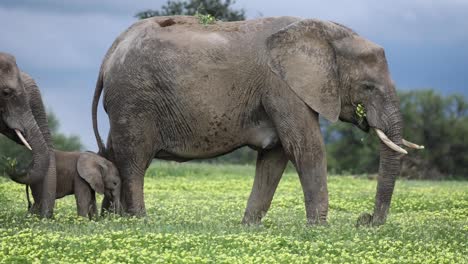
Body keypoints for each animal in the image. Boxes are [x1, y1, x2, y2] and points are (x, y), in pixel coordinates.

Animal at [93, 16, 422, 226]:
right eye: (368, 87)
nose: (365, 221)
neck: (326, 33)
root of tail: (111, 52)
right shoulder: (282, 86)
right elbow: (306, 148)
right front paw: (319, 229)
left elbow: (274, 157)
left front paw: (248, 227)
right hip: (135, 101)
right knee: (134, 162)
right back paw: (139, 222)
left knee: (113, 156)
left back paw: (111, 221)